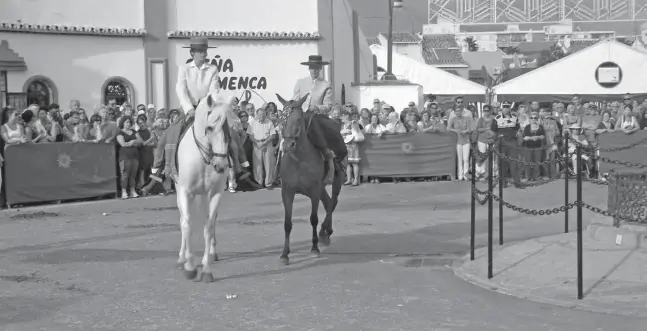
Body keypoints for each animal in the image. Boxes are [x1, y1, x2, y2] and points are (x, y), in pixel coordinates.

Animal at [176, 92, 232, 284]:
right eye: (209, 128)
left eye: (228, 129)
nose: (221, 166)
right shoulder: (185, 191)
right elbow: (187, 224)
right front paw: (190, 267)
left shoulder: (215, 193)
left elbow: (208, 227)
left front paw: (206, 269)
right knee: (184, 220)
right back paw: (182, 258)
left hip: (202, 196)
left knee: (208, 220)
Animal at [276, 94, 346, 266]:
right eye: (281, 118)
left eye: (299, 119)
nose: (288, 145)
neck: (298, 160)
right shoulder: (287, 191)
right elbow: (287, 223)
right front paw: (285, 254)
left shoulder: (314, 190)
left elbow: (313, 218)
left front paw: (314, 248)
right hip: (320, 188)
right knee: (328, 203)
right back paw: (325, 233)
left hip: (336, 182)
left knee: (332, 202)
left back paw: (324, 232)